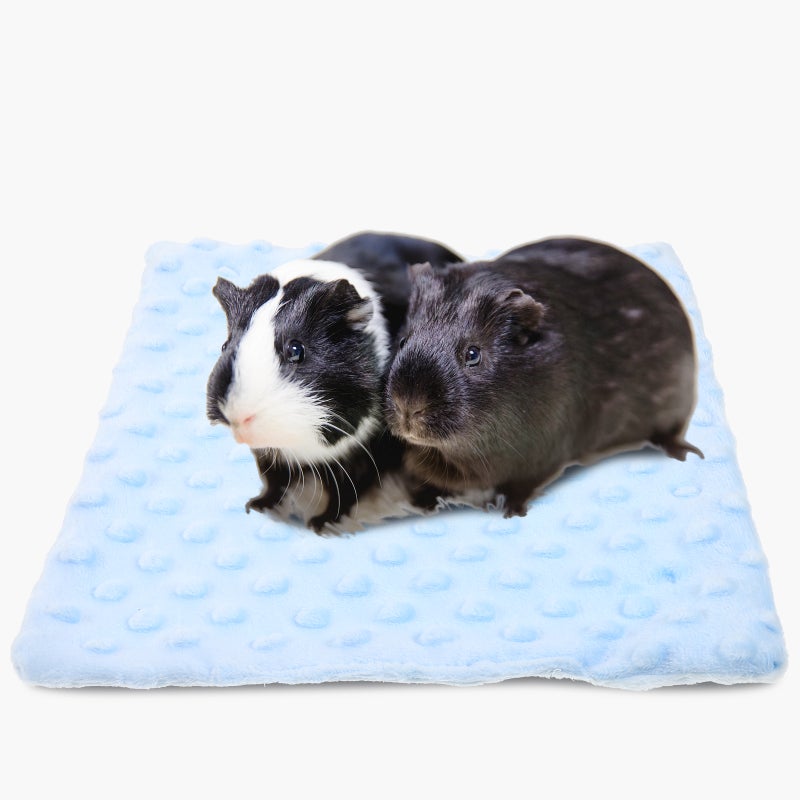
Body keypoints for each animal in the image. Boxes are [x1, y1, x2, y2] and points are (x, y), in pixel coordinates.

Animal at [206, 231, 463, 532]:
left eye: (296, 350)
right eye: (225, 346)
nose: (238, 419)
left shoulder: (363, 455)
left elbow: (344, 492)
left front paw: (320, 525)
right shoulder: (271, 455)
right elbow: (274, 481)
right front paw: (256, 506)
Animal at [385, 236, 703, 518]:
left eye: (473, 354)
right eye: (403, 341)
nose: (408, 406)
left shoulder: (540, 457)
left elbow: (521, 487)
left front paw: (510, 511)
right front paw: (422, 503)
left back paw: (688, 454)